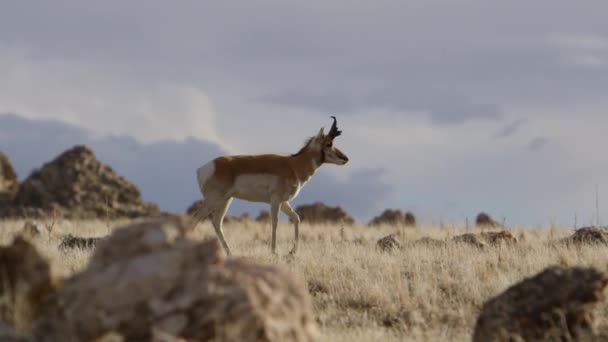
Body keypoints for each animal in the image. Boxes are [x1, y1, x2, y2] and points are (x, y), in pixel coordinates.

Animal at [192, 117, 350, 254]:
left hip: (225, 200)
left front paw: (292, 252)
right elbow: (275, 222)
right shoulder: (275, 200)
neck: (293, 165)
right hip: (213, 200)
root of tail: (203, 168)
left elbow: (296, 218)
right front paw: (274, 252)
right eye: (328, 143)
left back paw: (230, 253)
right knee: (195, 218)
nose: (346, 158)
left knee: (217, 223)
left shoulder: (284, 201)